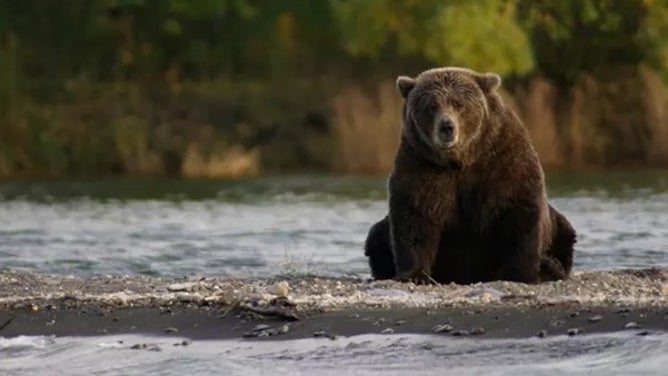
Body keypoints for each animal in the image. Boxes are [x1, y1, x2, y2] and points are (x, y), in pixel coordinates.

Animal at [362, 68, 576, 284]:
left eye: (458, 104)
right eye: (431, 106)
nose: (447, 127)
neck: (460, 160)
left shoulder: (503, 160)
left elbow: (519, 214)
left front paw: (524, 274)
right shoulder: (420, 165)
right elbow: (415, 217)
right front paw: (413, 275)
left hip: (557, 228)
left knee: (564, 233)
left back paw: (550, 266)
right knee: (376, 235)